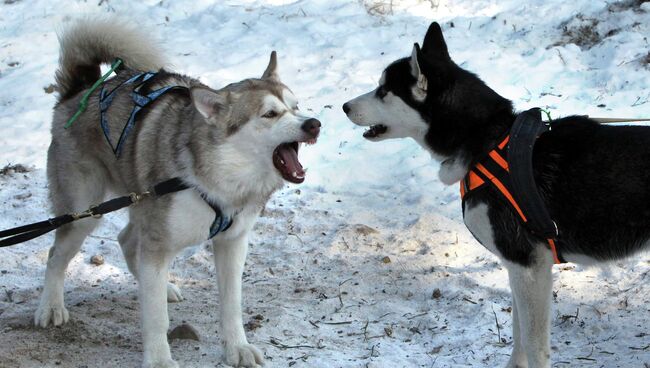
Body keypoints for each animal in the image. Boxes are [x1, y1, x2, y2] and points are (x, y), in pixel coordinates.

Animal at [36, 18, 318, 368]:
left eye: (296, 107)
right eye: (270, 114)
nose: (314, 124)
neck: (218, 179)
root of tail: (80, 90)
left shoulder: (232, 242)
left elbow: (231, 305)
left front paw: (236, 347)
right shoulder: (157, 244)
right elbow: (156, 317)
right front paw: (159, 359)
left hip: (140, 205)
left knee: (127, 240)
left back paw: (160, 286)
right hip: (84, 214)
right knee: (56, 255)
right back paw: (51, 306)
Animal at [342, 20, 648, 368]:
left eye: (383, 91)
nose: (345, 106)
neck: (487, 142)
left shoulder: (527, 265)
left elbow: (533, 343)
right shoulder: (520, 270)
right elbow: (519, 338)